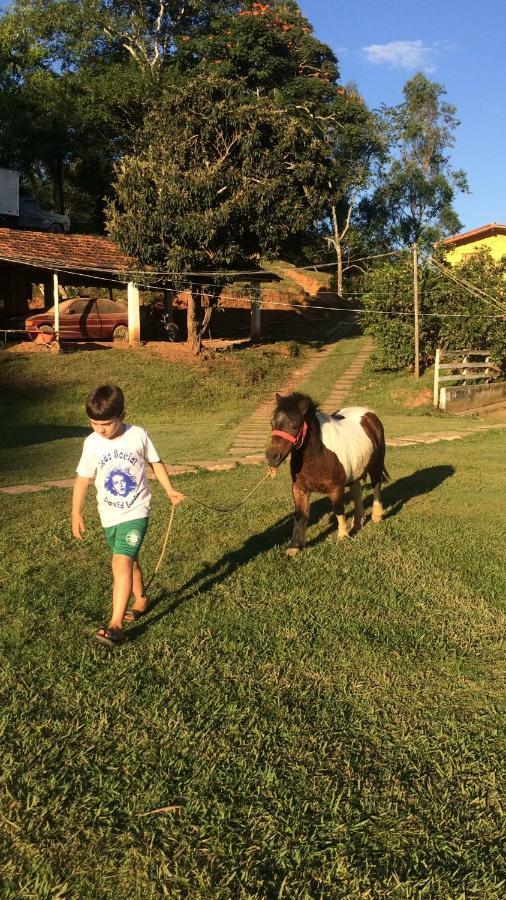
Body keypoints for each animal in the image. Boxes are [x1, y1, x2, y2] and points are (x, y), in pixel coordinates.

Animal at [266, 394, 390, 556]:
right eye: (272, 423)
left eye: (294, 426)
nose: (271, 456)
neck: (318, 455)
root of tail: (369, 413)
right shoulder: (299, 488)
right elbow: (300, 515)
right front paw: (294, 546)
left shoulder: (336, 488)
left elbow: (338, 509)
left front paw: (343, 536)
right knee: (356, 490)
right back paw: (357, 523)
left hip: (376, 465)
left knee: (376, 485)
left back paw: (376, 516)